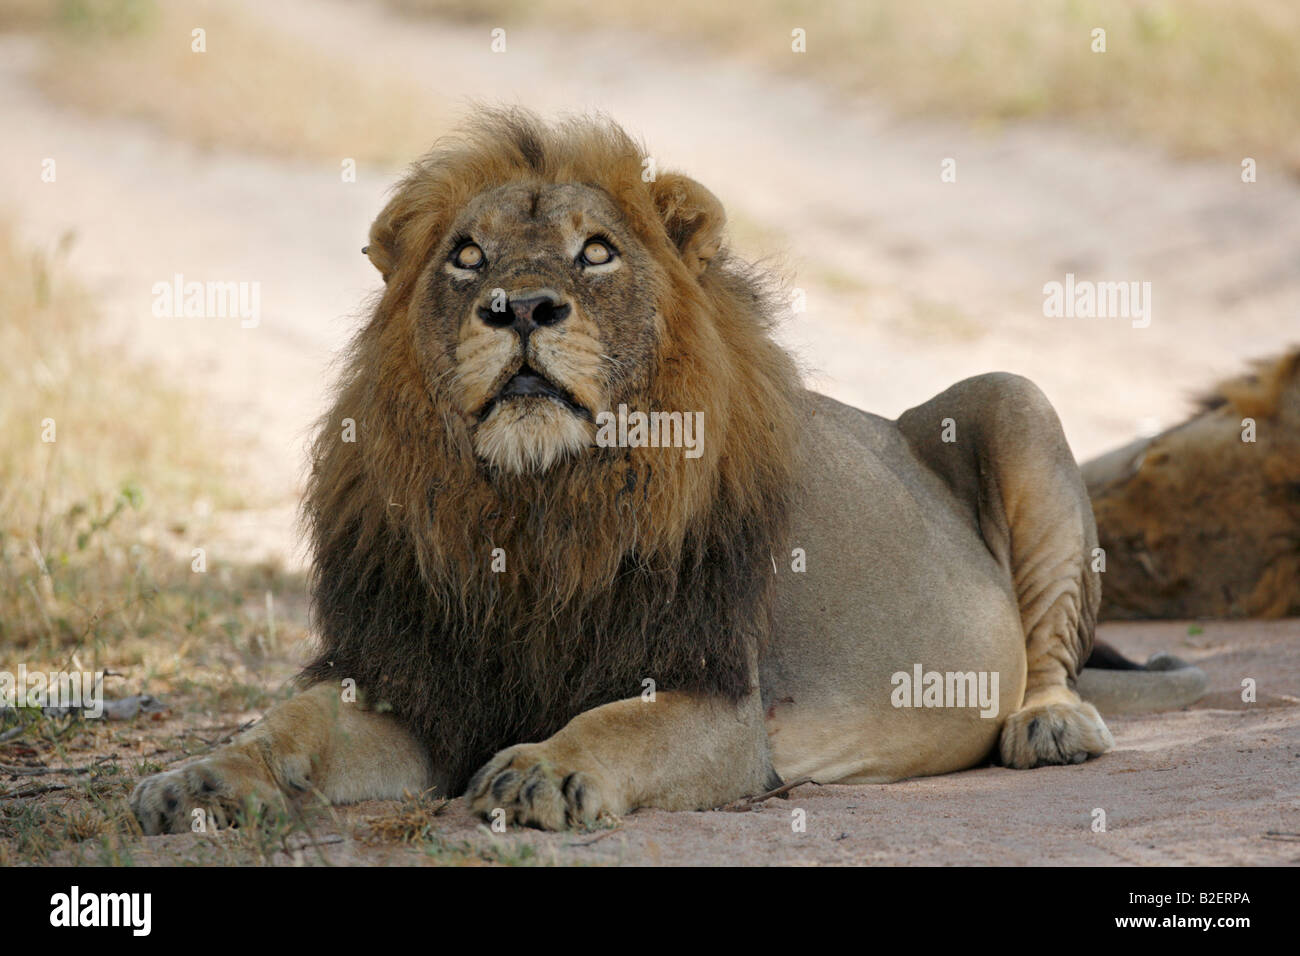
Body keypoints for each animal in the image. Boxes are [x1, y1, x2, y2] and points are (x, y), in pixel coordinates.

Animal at [129, 108, 1196, 832]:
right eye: (467, 257)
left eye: (595, 252)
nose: (520, 308)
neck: (533, 510)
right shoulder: (415, 682)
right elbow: (289, 725)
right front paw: (200, 780)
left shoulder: (720, 699)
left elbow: (617, 726)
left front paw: (540, 771)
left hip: (1016, 400)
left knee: (1052, 655)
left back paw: (1052, 727)